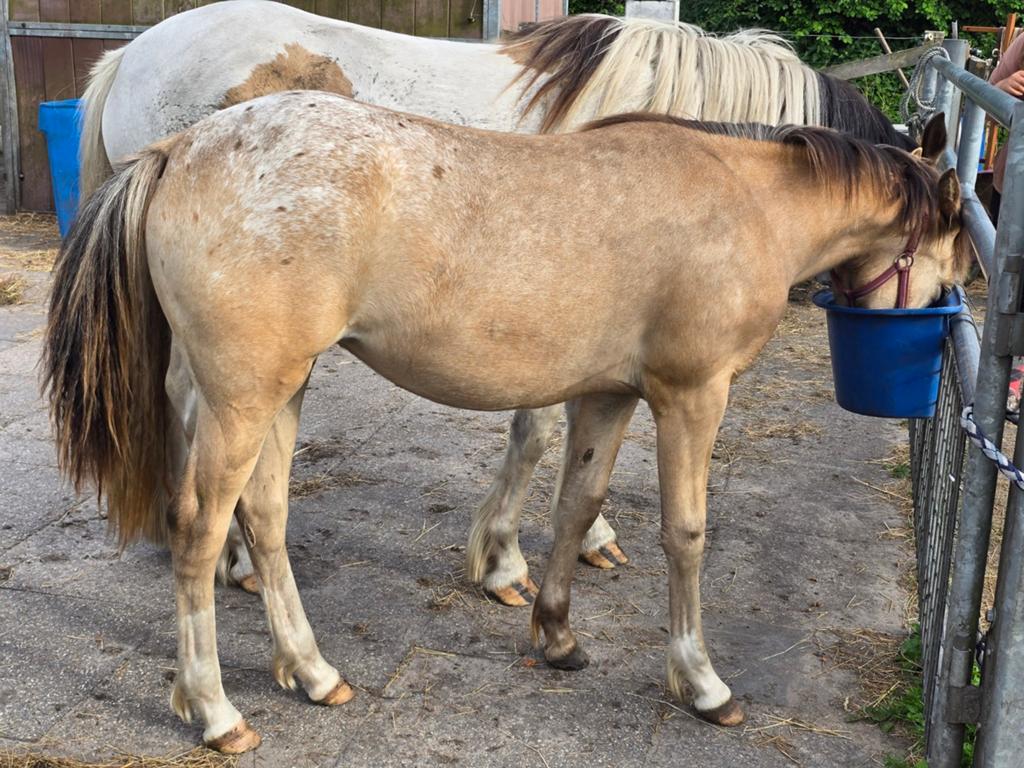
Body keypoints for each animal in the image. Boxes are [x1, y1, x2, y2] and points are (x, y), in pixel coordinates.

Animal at [44, 93, 968, 751]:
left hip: (280, 388)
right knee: (200, 533)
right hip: (243, 395)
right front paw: (702, 682)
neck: (743, 201)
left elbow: (576, 506)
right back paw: (214, 711)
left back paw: (311, 671)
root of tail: (177, 151)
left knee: (265, 519)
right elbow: (686, 533)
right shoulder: (691, 394)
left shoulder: (608, 394)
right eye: (956, 258)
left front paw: (554, 633)